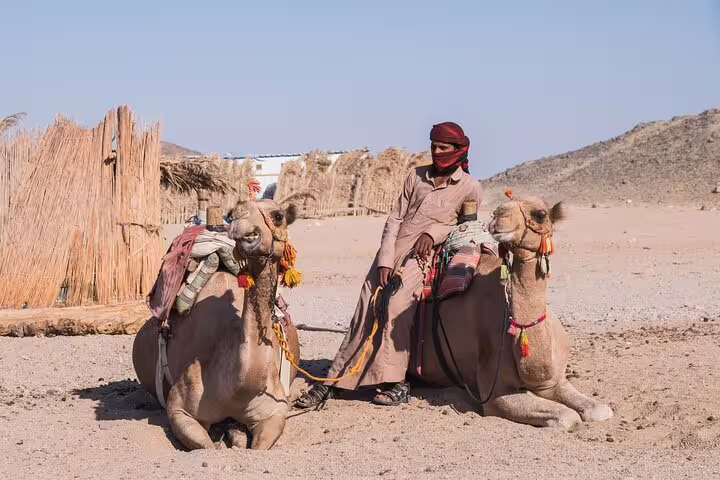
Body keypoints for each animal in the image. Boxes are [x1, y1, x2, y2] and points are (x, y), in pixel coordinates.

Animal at [132, 199, 301, 450]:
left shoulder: (275, 411)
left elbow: (260, 445)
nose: (245, 229)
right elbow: (207, 446)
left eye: (278, 216)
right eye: (233, 214)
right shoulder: (180, 409)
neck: (239, 389)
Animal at [414, 195, 613, 429]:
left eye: (540, 214)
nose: (498, 215)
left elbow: (600, 410)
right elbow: (566, 416)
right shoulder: (494, 394)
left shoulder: (553, 381)